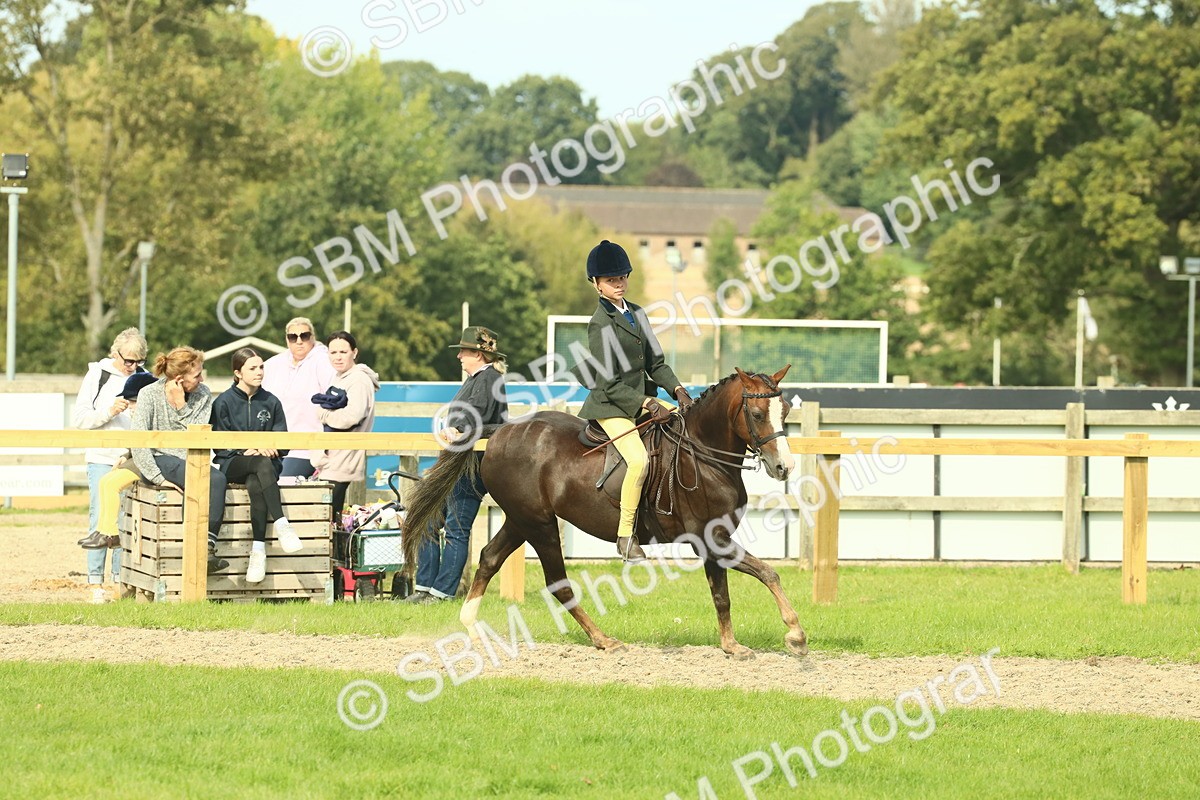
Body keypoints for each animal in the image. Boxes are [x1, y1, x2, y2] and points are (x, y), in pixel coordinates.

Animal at [401, 365, 809, 658]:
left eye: (785, 410)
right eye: (756, 413)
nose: (784, 467)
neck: (703, 453)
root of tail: (500, 432)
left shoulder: (714, 539)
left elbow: (727, 590)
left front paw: (732, 645)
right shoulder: (711, 539)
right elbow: (764, 574)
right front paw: (794, 634)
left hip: (520, 520)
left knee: (488, 558)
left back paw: (472, 627)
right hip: (540, 524)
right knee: (558, 582)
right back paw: (602, 639)